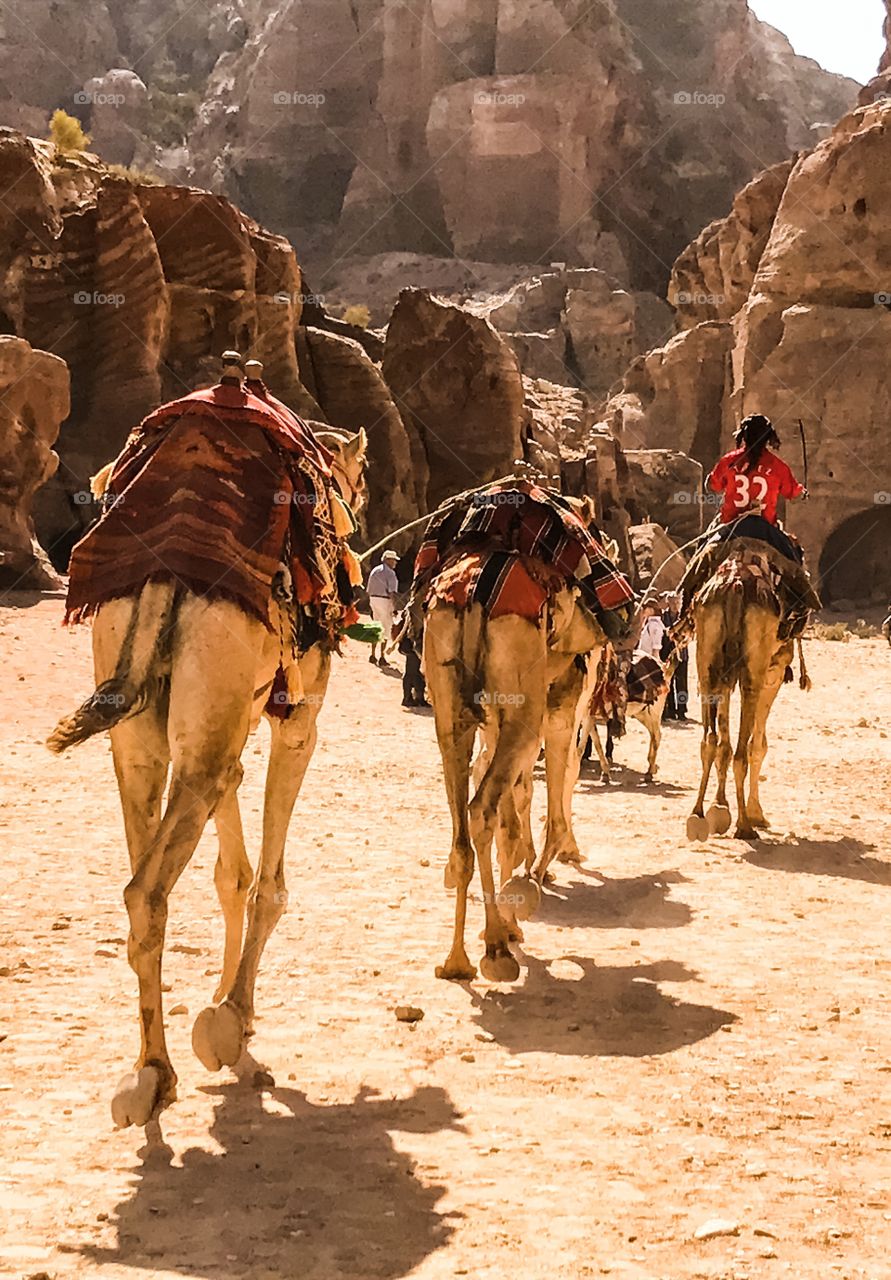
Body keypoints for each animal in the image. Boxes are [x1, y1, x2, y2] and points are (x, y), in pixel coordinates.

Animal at [48, 401, 368, 1128]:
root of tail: (165, 575)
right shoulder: (295, 717)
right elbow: (267, 884)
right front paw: (232, 1022)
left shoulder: (231, 728)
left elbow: (232, 874)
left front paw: (219, 1014)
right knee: (147, 889)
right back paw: (163, 1071)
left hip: (141, 725)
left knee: (144, 878)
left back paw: (146, 1074)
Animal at [685, 545, 802, 842]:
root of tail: (736, 586)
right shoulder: (773, 672)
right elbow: (757, 746)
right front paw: (755, 813)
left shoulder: (724, 675)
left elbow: (723, 743)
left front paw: (719, 807)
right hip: (754, 671)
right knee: (742, 750)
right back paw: (745, 826)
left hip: (706, 660)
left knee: (709, 740)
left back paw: (696, 815)